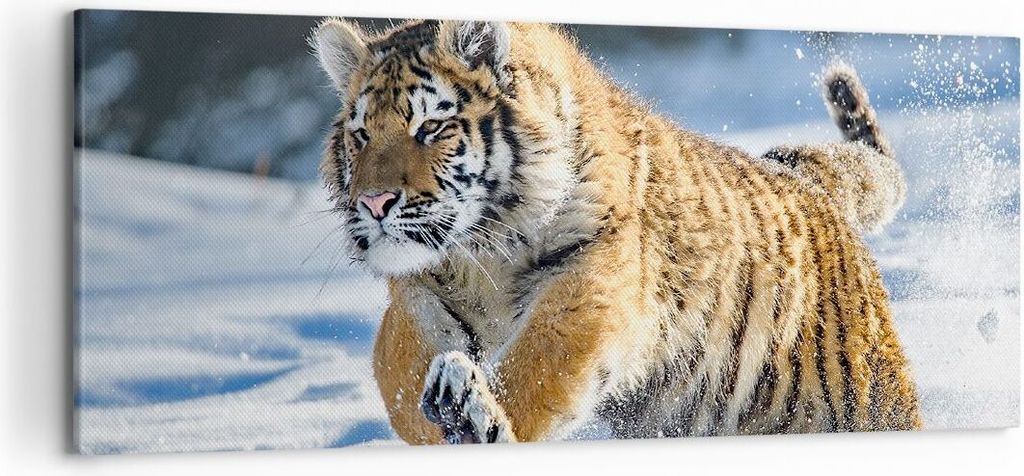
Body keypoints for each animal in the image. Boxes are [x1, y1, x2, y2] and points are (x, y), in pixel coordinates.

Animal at [309, 18, 921, 444]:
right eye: (362, 135)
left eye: (431, 127)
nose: (374, 202)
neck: (482, 248)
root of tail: (805, 178)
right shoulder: (414, 295)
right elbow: (403, 379)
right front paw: (446, 411)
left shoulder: (592, 278)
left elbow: (538, 364)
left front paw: (481, 417)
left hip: (872, 403)